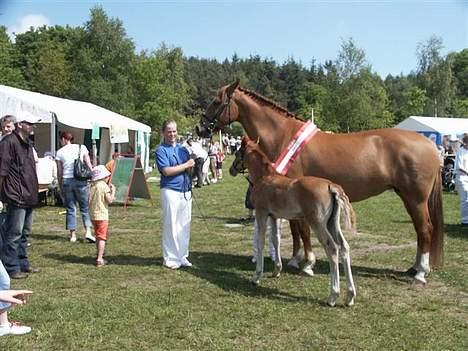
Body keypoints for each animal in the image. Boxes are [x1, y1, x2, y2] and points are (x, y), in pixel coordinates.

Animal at [196, 80, 444, 286]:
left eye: (216, 101)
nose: (200, 128)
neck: (283, 136)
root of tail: (430, 144)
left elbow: (303, 231)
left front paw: (307, 264)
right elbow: (295, 230)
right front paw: (295, 259)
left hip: (416, 199)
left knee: (425, 229)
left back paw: (421, 272)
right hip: (407, 197)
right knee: (420, 230)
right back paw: (414, 268)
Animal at [232, 139, 356, 306]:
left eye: (237, 152)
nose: (231, 169)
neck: (265, 177)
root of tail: (331, 186)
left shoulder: (261, 214)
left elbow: (261, 241)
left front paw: (256, 277)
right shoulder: (274, 216)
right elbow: (275, 240)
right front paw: (277, 270)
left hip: (317, 224)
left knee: (332, 248)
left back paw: (333, 296)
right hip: (332, 223)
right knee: (344, 247)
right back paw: (350, 296)